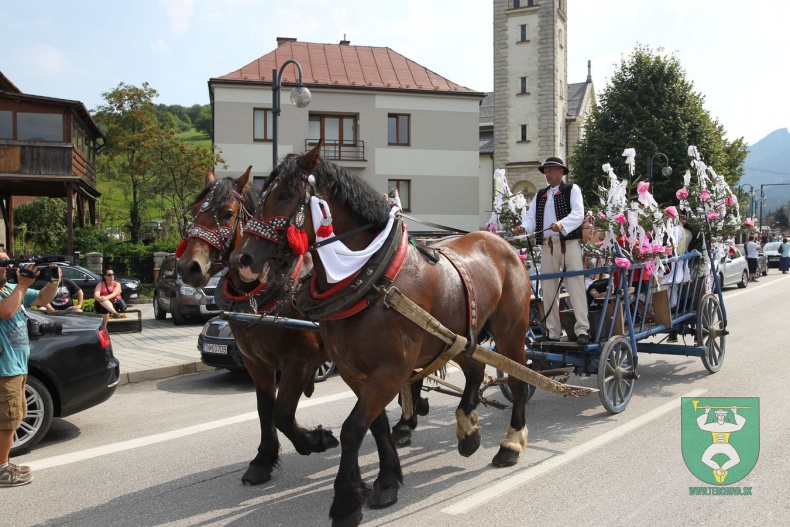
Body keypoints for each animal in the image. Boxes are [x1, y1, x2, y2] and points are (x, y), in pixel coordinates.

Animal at [178, 169, 338, 486]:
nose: (188, 267)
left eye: (227, 214)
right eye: (194, 211)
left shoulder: (301, 360)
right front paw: (263, 460)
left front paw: (314, 440)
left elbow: (283, 412)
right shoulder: (256, 362)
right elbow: (266, 409)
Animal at [230, 145, 540, 527]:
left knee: (519, 380)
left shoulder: (387, 370)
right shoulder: (355, 372)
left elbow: (351, 429)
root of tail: (502, 242)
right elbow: (373, 425)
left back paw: (511, 443)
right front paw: (387, 480)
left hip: (511, 331)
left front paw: (346, 501)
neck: (369, 276)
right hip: (455, 337)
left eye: (285, 195)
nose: (244, 259)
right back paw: (468, 432)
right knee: (476, 371)